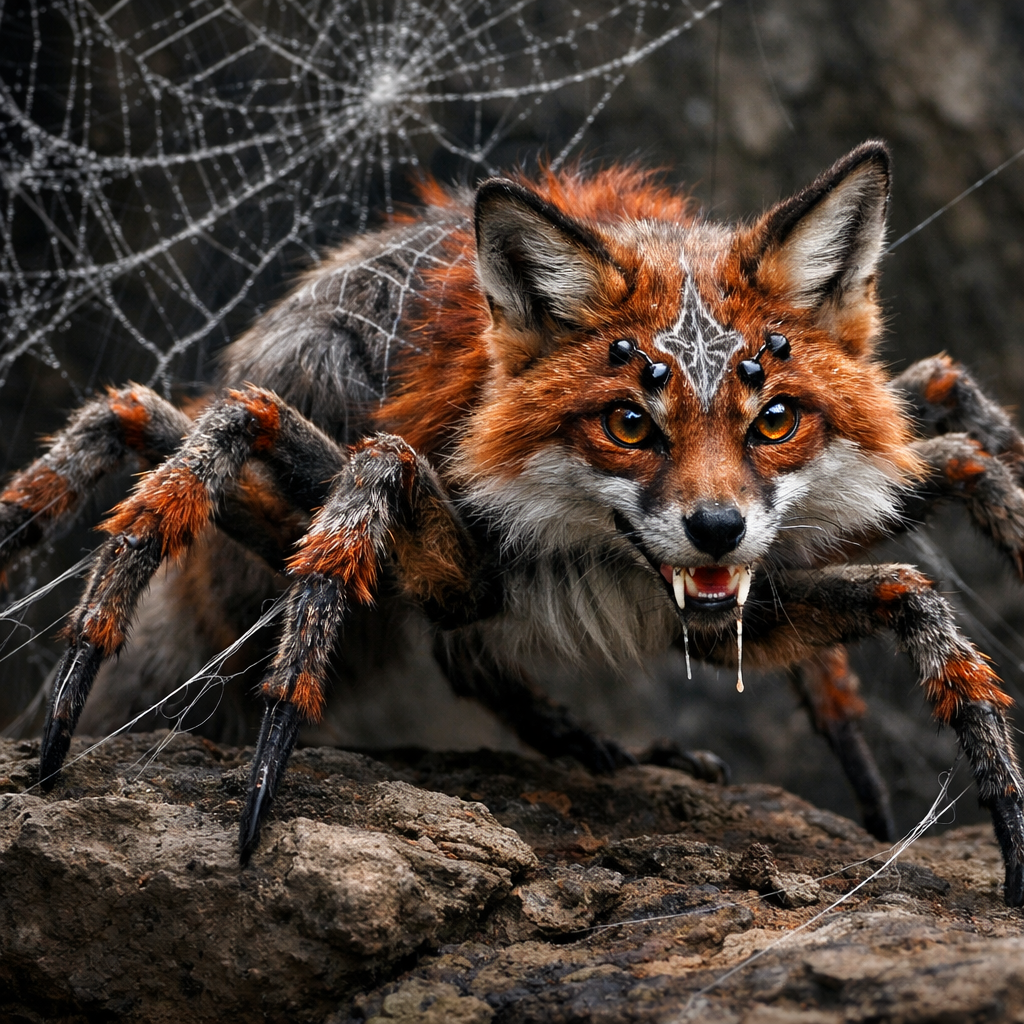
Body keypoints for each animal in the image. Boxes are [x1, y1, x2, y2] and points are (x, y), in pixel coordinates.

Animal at [4, 141, 1024, 903]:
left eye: (775, 421)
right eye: (629, 424)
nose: (716, 530)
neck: (612, 573)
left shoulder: (763, 591)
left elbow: (964, 539)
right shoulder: (418, 517)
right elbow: (328, 539)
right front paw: (259, 799)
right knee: (121, 450)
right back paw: (57, 734)